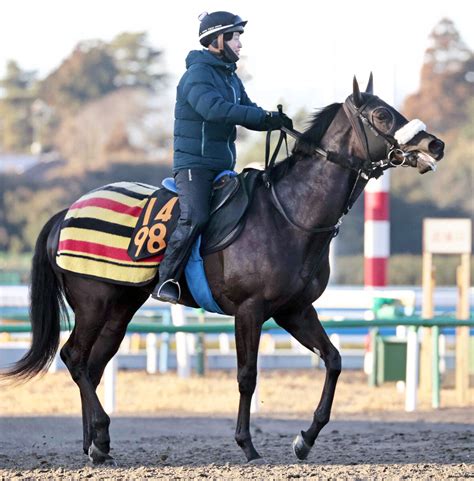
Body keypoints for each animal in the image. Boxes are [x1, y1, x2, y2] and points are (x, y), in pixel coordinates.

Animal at [1, 77, 444, 464]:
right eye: (382, 115)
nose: (435, 144)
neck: (290, 215)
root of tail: (66, 212)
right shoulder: (250, 310)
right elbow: (247, 375)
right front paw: (248, 445)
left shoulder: (295, 310)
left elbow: (333, 360)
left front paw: (304, 439)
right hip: (93, 302)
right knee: (74, 356)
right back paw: (98, 438)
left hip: (120, 307)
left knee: (92, 366)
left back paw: (97, 444)